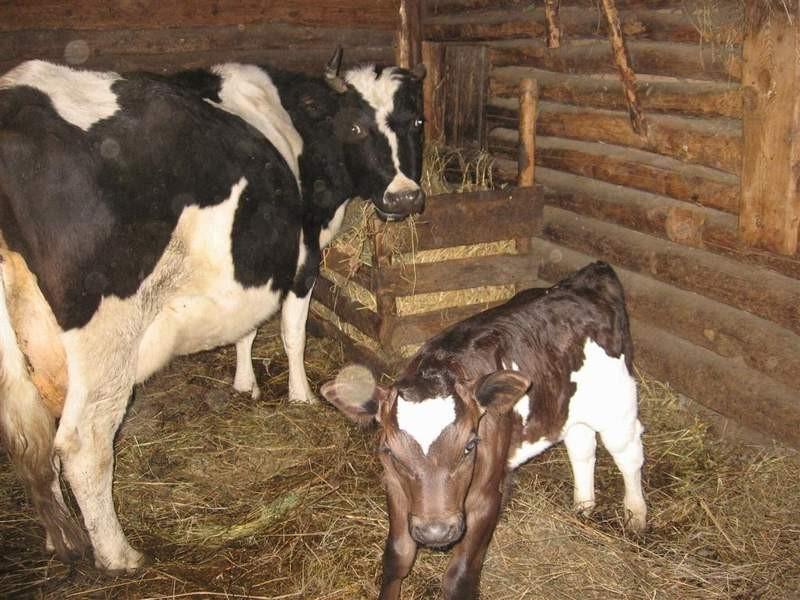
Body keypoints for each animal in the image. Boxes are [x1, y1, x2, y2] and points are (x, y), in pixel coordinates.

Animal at [0, 51, 424, 572]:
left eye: (416, 121)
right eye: (358, 128)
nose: (405, 196)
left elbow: (247, 328)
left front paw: (245, 384)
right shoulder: (302, 255)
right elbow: (293, 333)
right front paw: (301, 396)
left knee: (31, 437)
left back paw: (60, 537)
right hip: (105, 331)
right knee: (83, 442)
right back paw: (119, 554)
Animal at [322, 262, 648, 600]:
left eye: (469, 446)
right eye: (390, 451)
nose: (435, 532)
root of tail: (590, 276)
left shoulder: (484, 497)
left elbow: (460, 575)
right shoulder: (396, 489)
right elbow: (397, 557)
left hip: (617, 405)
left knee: (628, 455)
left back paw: (635, 516)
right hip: (568, 405)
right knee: (581, 446)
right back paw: (583, 506)